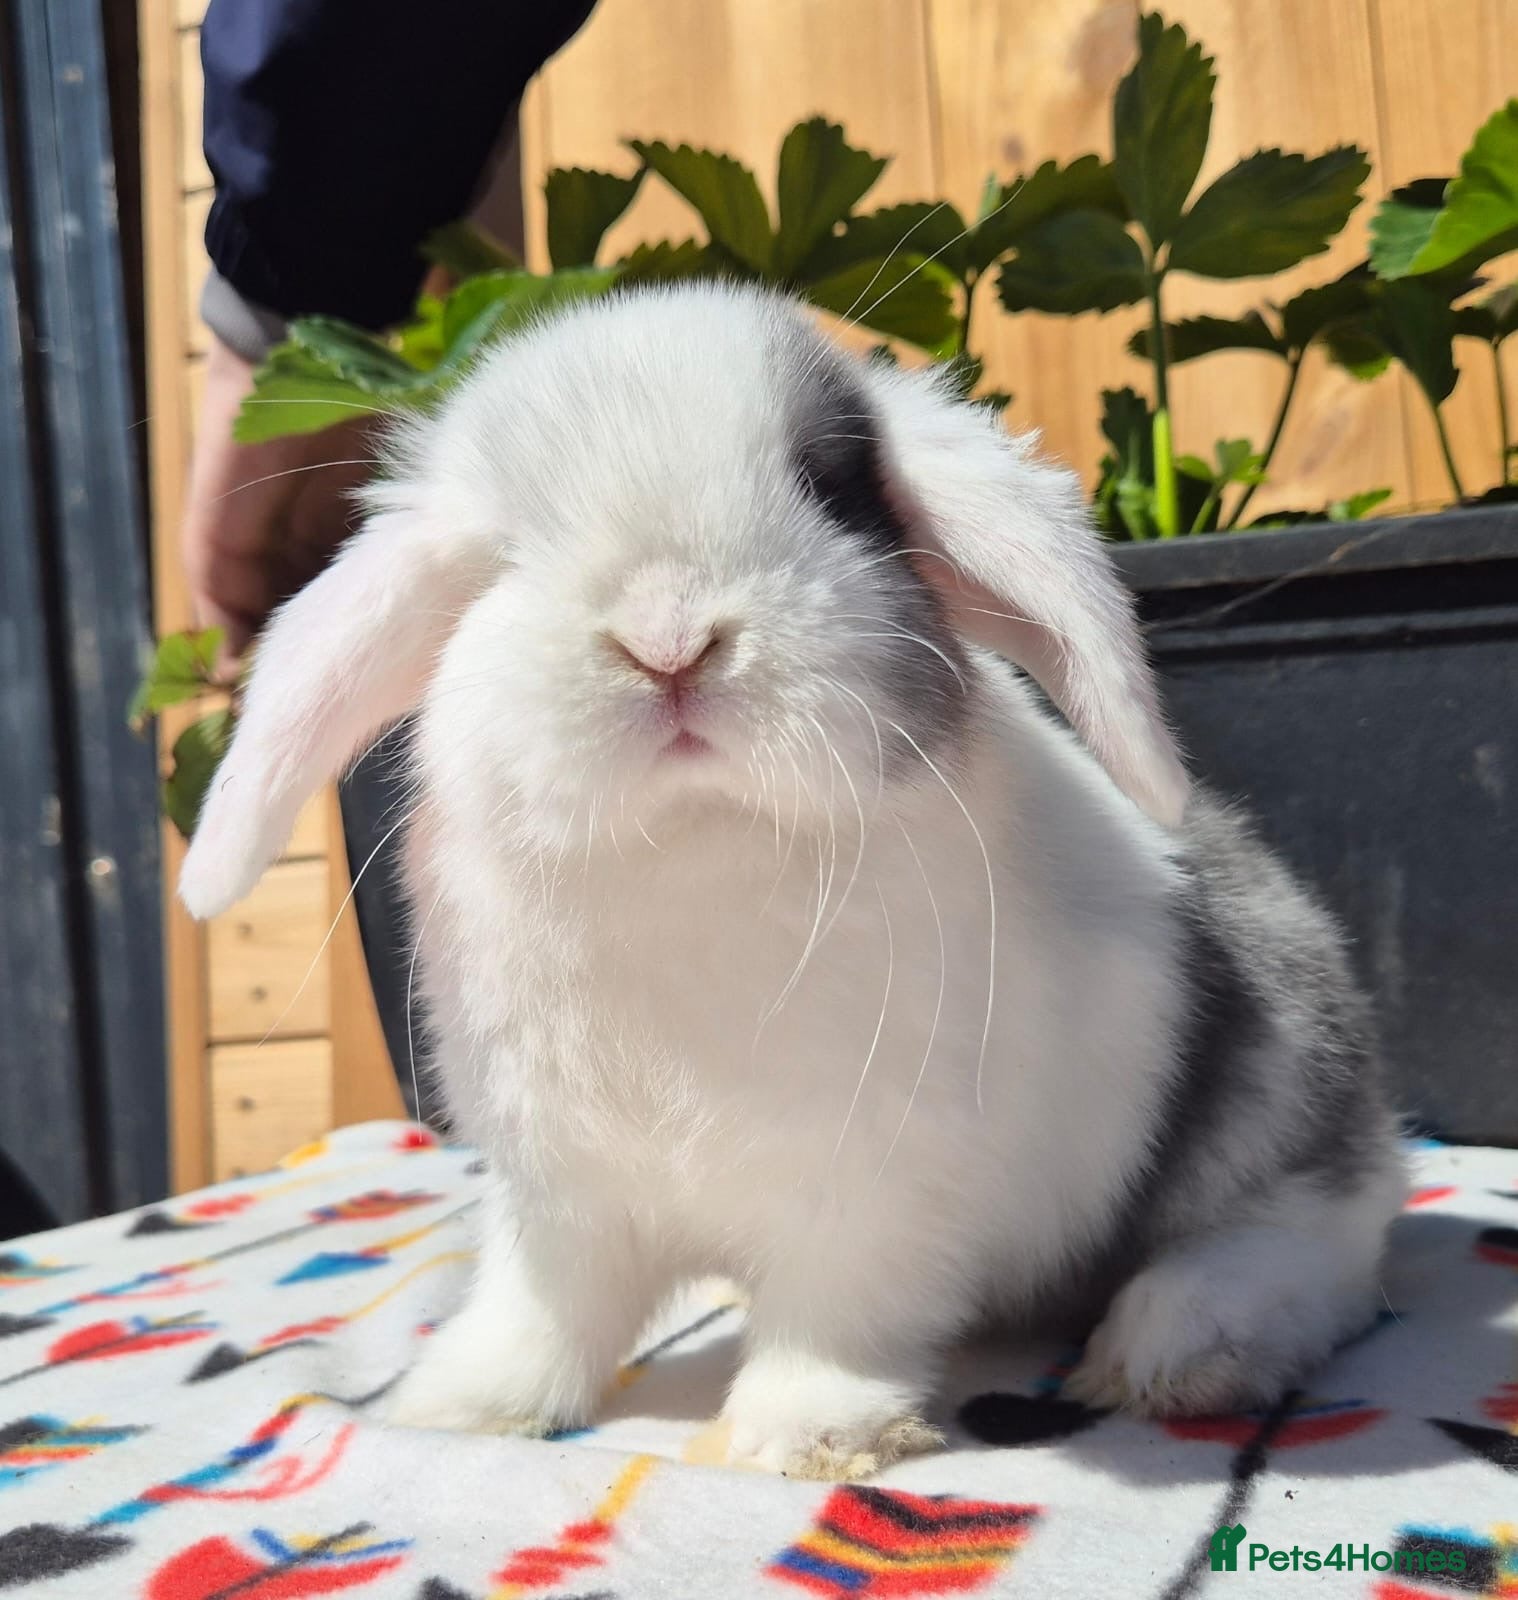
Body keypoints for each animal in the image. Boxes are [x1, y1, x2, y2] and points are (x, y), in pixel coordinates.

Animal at [180, 281, 1407, 1480]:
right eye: (499, 555)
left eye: (835, 491)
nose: (667, 637)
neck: (694, 849)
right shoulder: (561, 1197)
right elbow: (541, 1312)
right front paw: (460, 1407)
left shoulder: (881, 1191)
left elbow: (837, 1316)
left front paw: (810, 1435)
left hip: (1274, 1085)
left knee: (1327, 1231)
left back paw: (1182, 1345)